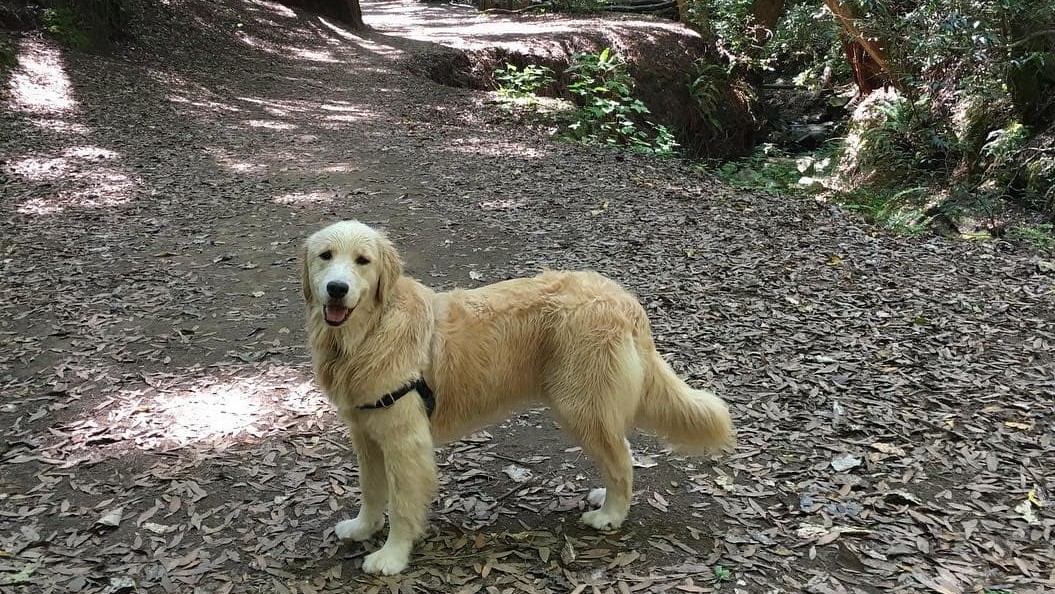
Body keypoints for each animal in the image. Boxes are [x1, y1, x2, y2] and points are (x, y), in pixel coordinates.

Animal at [303, 220, 734, 573]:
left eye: (363, 261)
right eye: (326, 256)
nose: (337, 289)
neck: (369, 333)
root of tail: (625, 300)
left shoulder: (404, 441)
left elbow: (403, 504)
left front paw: (392, 556)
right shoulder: (366, 435)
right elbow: (372, 490)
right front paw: (363, 527)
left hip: (580, 406)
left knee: (621, 459)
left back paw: (610, 514)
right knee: (620, 454)